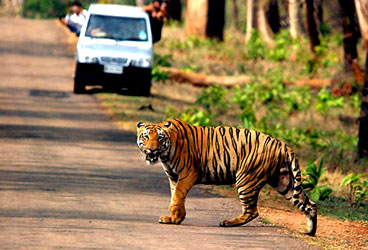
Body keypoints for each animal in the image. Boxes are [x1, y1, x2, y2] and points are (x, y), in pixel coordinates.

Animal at [137, 118, 318, 235]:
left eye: (160, 138)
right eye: (146, 137)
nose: (152, 149)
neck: (165, 154)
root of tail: (282, 144)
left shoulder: (187, 174)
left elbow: (177, 196)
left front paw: (175, 218)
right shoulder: (173, 177)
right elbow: (175, 196)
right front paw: (175, 217)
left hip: (246, 179)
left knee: (252, 211)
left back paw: (228, 223)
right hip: (284, 182)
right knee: (310, 204)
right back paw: (309, 231)